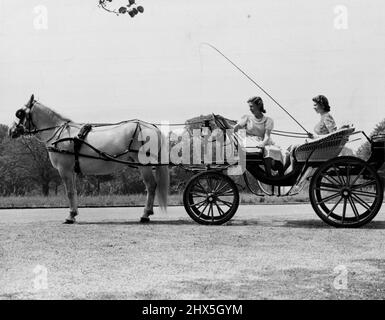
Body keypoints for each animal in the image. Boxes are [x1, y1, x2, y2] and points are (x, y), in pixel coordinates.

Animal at [8, 95, 168, 224]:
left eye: (19, 113)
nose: (11, 131)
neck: (59, 133)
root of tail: (152, 127)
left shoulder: (64, 170)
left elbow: (69, 192)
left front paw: (70, 216)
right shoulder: (71, 170)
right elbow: (74, 191)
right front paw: (74, 213)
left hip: (144, 165)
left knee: (151, 186)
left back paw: (145, 214)